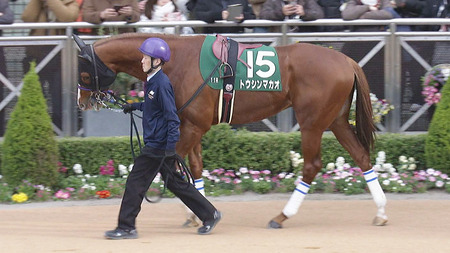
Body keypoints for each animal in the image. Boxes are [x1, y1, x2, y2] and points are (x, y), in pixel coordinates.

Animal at [75, 32, 388, 228]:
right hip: (336, 120)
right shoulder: (191, 124)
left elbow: (172, 165)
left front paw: (196, 212)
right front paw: (197, 213)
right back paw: (381, 211)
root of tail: (346, 60)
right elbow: (194, 168)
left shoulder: (193, 126)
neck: (177, 60)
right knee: (361, 156)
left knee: (311, 165)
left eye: (84, 72)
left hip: (311, 122)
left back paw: (281, 216)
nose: (82, 101)